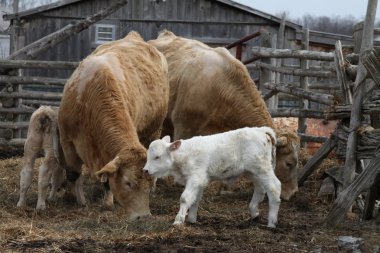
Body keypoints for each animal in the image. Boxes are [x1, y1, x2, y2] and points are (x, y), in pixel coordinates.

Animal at [57, 30, 168, 219]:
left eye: (146, 182)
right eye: (128, 183)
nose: (144, 216)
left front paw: (108, 202)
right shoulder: (67, 139)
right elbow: (72, 171)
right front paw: (69, 196)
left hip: (155, 128)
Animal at [144, 126, 280, 227]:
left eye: (157, 157)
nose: (145, 170)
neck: (184, 154)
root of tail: (262, 130)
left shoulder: (195, 178)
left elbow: (185, 198)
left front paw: (178, 220)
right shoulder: (201, 180)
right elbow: (195, 199)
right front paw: (192, 219)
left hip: (262, 168)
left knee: (274, 187)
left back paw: (272, 222)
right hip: (253, 172)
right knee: (260, 188)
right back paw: (254, 213)